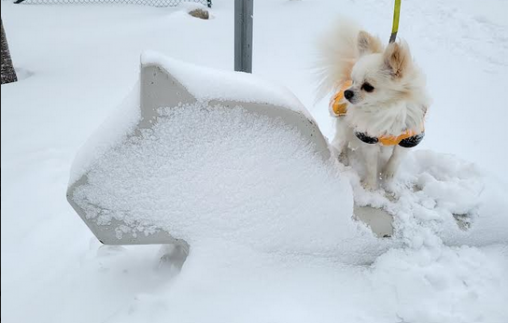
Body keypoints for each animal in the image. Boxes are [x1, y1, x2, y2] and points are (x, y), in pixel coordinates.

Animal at [318, 20, 428, 191]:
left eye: (368, 87)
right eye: (353, 80)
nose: (347, 92)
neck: (386, 108)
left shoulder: (408, 139)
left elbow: (394, 162)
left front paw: (388, 181)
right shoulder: (368, 137)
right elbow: (371, 165)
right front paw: (370, 185)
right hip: (344, 124)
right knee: (343, 141)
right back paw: (343, 157)